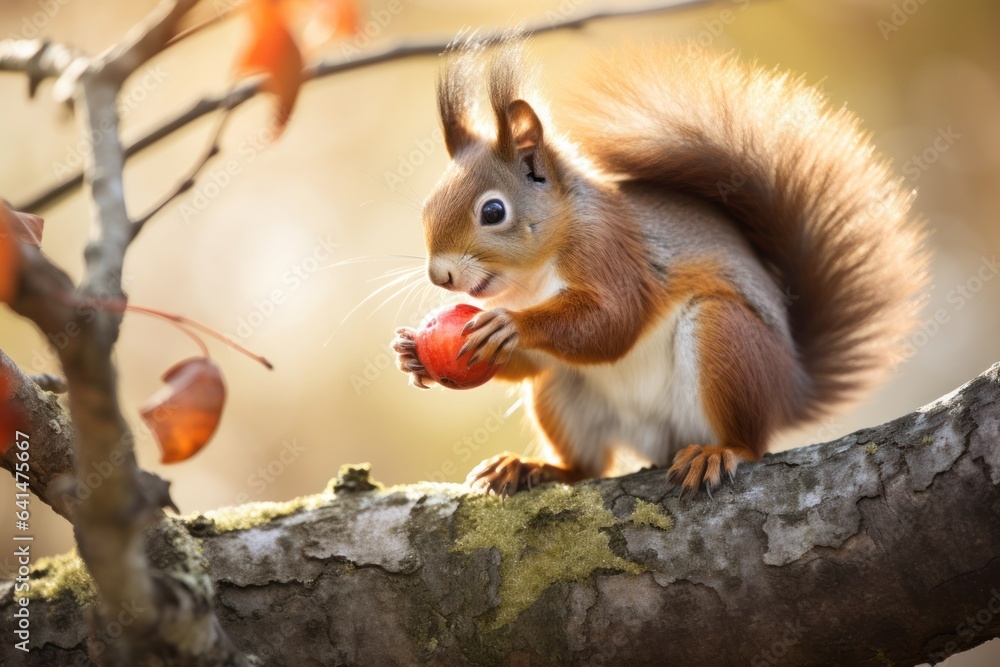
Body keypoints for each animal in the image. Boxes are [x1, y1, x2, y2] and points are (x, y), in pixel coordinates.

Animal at [392, 38, 928, 496]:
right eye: (427, 207)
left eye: (493, 211)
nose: (440, 276)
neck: (533, 279)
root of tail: (791, 389)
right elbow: (540, 360)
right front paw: (410, 353)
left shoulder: (610, 253)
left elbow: (614, 323)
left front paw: (510, 326)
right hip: (564, 395)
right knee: (586, 464)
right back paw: (532, 467)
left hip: (726, 339)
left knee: (750, 443)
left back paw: (719, 452)